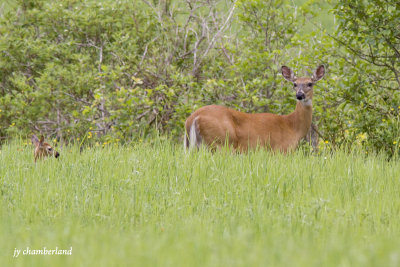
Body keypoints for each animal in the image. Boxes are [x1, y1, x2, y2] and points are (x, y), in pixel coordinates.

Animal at [184, 64, 324, 153]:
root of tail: (194, 117)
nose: (300, 95)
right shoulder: (280, 150)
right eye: (294, 84)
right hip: (221, 142)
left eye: (310, 83)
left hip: (193, 145)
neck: (293, 126)